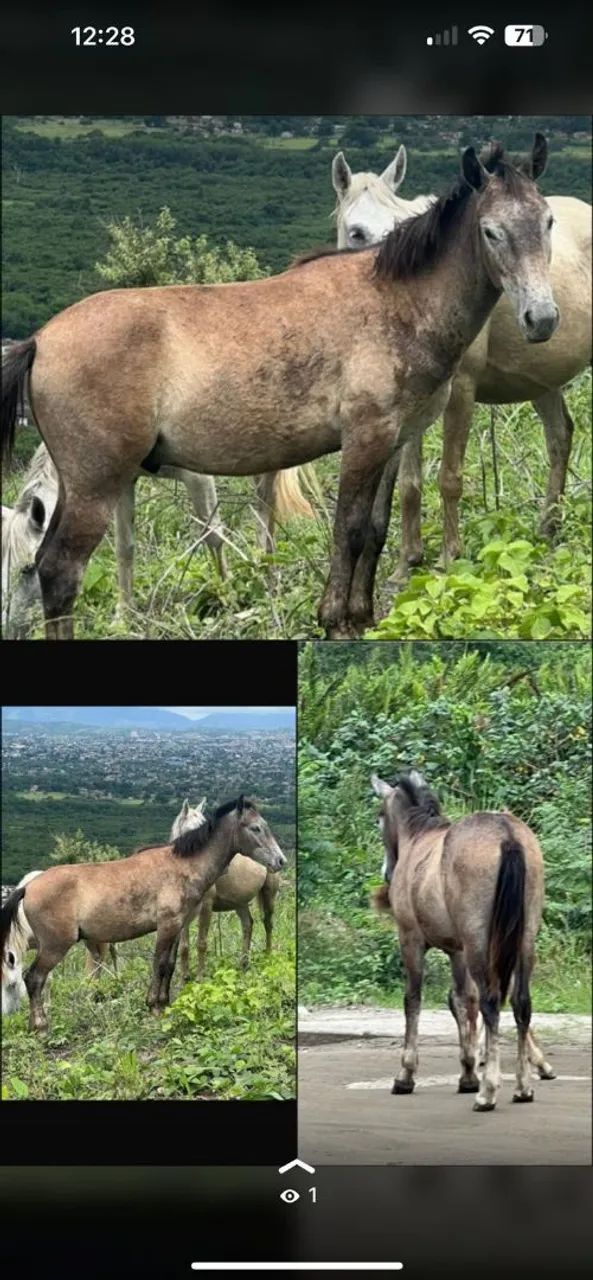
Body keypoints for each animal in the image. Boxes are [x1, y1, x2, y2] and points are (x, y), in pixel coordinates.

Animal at [1, 443, 314, 638]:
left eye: (29, 567)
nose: (11, 630)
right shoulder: (123, 481)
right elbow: (124, 548)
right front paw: (123, 617)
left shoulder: (197, 476)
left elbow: (213, 534)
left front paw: (229, 600)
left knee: (264, 501)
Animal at [170, 798, 281, 982]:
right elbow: (184, 946)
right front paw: (185, 977)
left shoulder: (206, 906)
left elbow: (201, 943)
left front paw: (200, 978)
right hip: (240, 902)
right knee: (248, 924)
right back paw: (243, 964)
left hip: (268, 894)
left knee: (268, 923)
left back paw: (268, 956)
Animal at [332, 145, 591, 583]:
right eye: (357, 232)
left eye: (548, 223)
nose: (541, 317)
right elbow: (410, 483)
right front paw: (407, 563)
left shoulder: (462, 392)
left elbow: (449, 477)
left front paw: (449, 558)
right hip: (542, 379)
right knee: (560, 437)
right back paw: (547, 528)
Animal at [370, 770, 556, 1111]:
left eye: (380, 816)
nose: (387, 871)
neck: (417, 838)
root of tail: (508, 836)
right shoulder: (456, 949)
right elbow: (461, 999)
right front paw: (468, 1071)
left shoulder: (410, 939)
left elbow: (413, 999)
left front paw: (406, 1074)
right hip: (523, 940)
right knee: (520, 1002)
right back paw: (523, 1086)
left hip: (479, 941)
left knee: (492, 1001)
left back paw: (489, 1091)